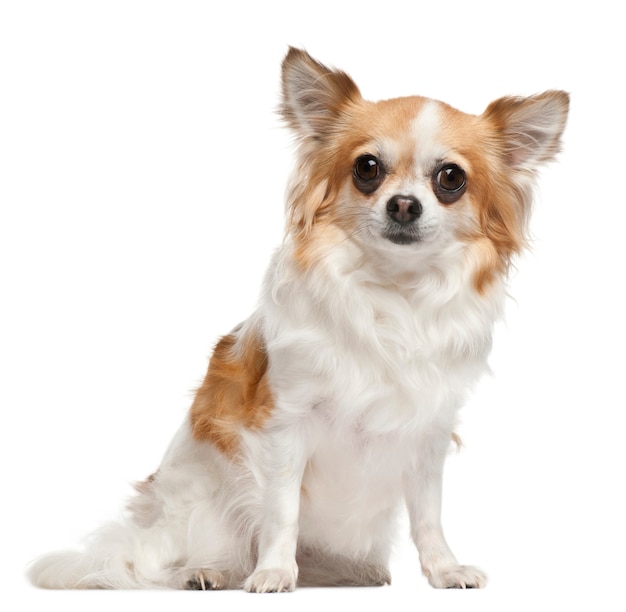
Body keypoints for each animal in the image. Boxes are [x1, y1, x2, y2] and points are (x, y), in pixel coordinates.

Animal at [28, 49, 564, 592]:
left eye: (451, 178)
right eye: (367, 168)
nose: (404, 204)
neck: (393, 293)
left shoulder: (426, 436)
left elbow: (428, 515)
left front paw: (444, 569)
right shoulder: (285, 426)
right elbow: (282, 512)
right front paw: (274, 572)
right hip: (199, 506)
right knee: (178, 556)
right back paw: (205, 572)